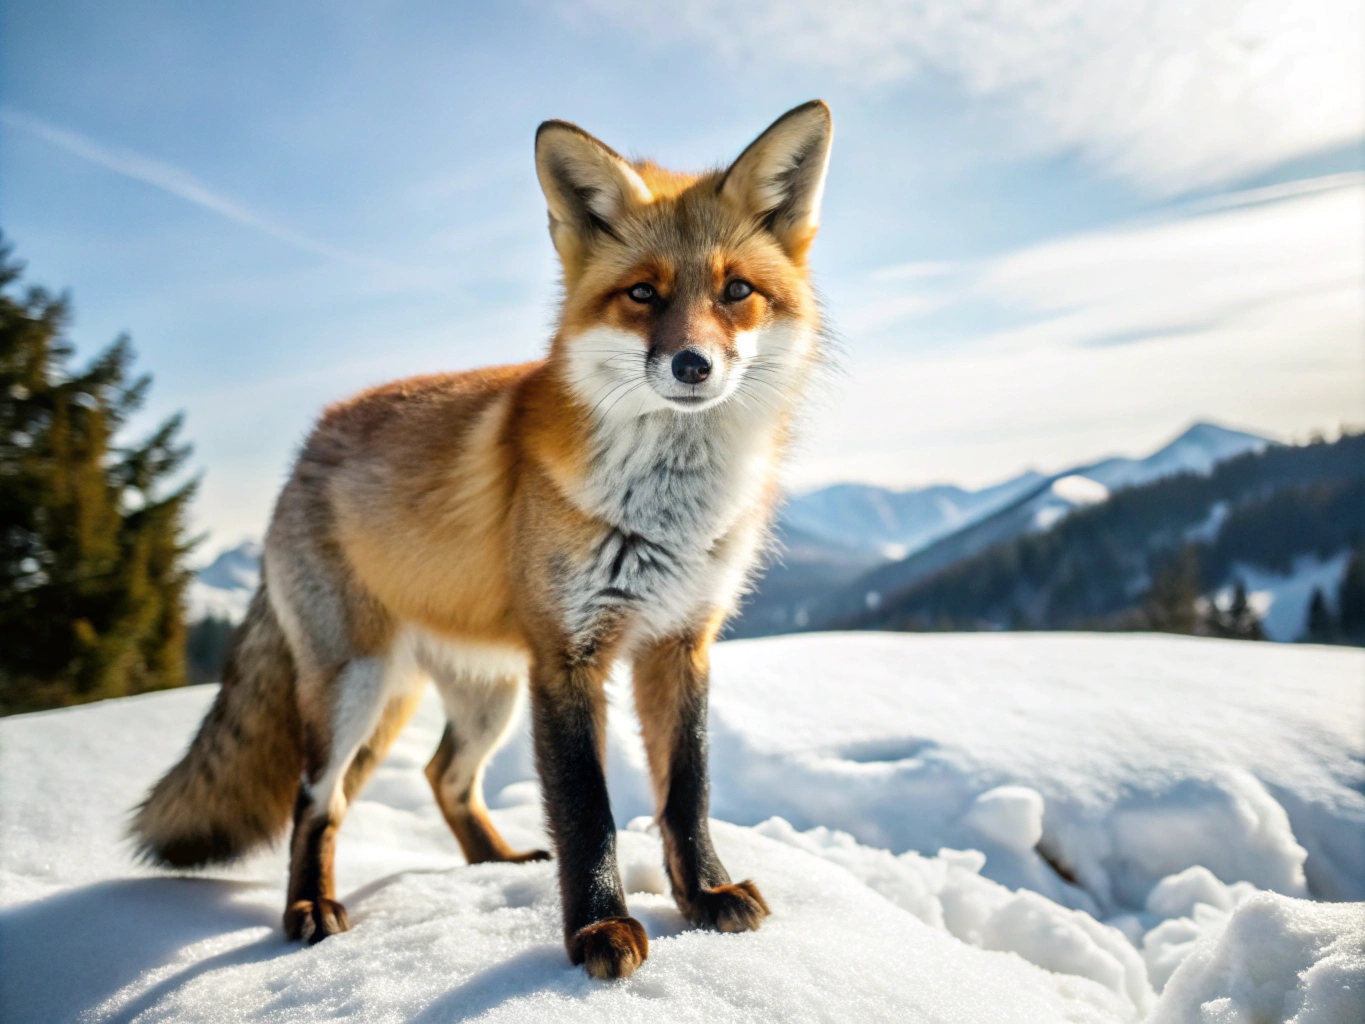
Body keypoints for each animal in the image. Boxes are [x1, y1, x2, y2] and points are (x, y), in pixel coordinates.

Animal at [132, 100, 833, 980]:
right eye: (642, 294)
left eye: (736, 290)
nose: (692, 365)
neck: (667, 509)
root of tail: (306, 449)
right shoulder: (567, 657)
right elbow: (587, 810)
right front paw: (598, 931)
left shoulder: (680, 641)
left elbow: (686, 792)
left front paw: (703, 897)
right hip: (357, 685)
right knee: (316, 799)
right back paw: (309, 909)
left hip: (486, 693)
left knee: (443, 777)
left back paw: (492, 865)